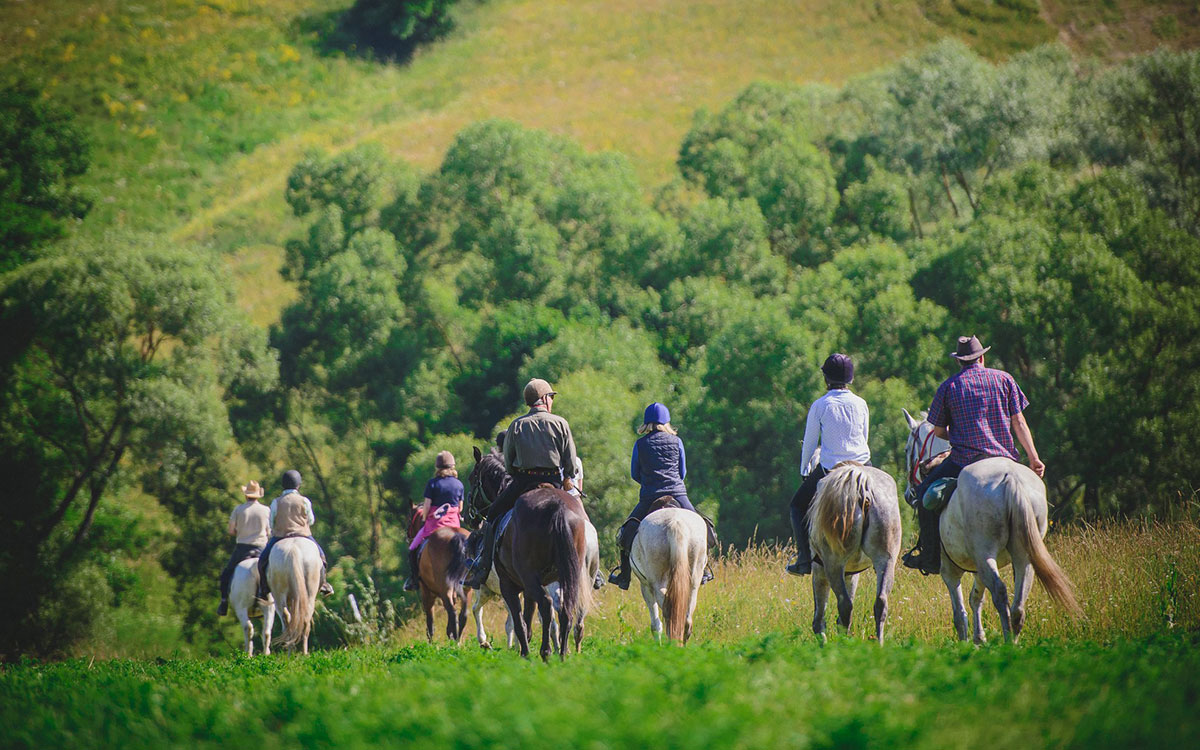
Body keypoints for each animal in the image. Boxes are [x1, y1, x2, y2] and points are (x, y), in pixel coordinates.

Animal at [408, 506, 472, 638]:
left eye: (409, 518)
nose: (408, 534)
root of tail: (456, 535)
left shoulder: (427, 592)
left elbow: (430, 624)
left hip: (444, 588)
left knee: (453, 613)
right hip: (467, 588)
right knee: (463, 615)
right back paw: (457, 638)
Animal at [477, 482, 590, 657]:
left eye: (474, 478)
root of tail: (558, 507)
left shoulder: (509, 585)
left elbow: (520, 622)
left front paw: (524, 653)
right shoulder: (529, 589)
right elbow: (527, 620)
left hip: (528, 578)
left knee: (546, 605)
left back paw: (545, 652)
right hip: (568, 577)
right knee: (566, 610)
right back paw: (562, 654)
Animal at [628, 504, 700, 643]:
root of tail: (675, 522)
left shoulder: (645, 586)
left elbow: (655, 625)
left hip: (655, 582)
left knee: (669, 610)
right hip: (694, 581)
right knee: (686, 619)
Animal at [806, 463, 902, 643]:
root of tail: (863, 486)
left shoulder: (820, 570)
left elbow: (819, 617)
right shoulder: (851, 573)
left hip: (833, 564)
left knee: (844, 605)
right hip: (885, 559)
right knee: (881, 602)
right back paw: (879, 644)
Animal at [902, 405, 1089, 638]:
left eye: (907, 449)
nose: (908, 495)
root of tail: (1011, 478)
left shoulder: (950, 570)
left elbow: (960, 615)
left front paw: (968, 641)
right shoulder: (979, 568)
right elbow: (976, 599)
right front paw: (979, 639)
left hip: (985, 554)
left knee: (1000, 595)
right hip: (1022, 557)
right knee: (1018, 607)